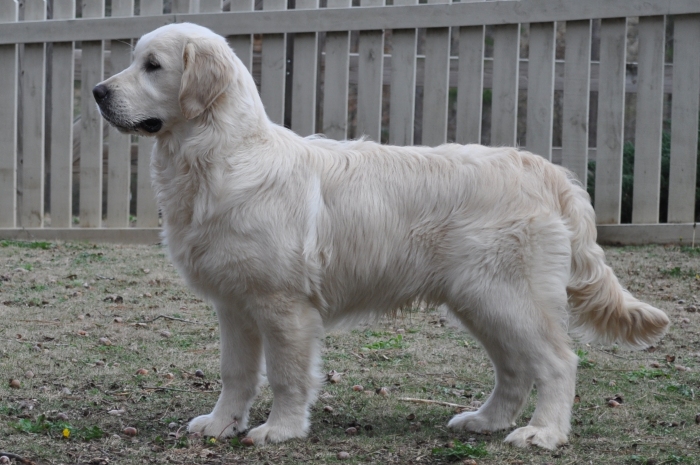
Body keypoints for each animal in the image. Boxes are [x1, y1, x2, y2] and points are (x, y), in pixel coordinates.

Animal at [93, 23, 668, 448]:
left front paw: (280, 430)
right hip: (480, 301)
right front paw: (220, 425)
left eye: (153, 66)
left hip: (508, 296)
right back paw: (485, 421)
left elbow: (286, 376)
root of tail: (543, 168)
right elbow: (235, 374)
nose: (97, 92)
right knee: (514, 370)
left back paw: (542, 433)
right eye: (136, 60)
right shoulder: (234, 304)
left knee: (557, 363)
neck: (220, 157)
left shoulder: (284, 305)